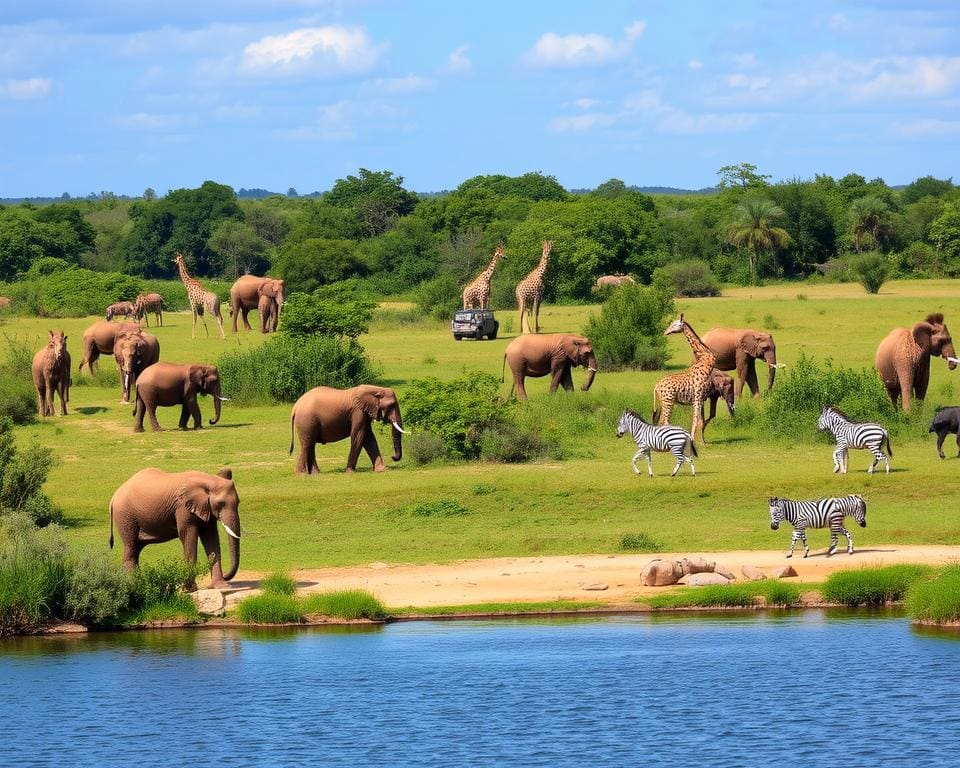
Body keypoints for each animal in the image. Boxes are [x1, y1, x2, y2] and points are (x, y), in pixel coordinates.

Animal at [109, 464, 242, 592]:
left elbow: (211, 536)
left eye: (238, 502)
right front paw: (189, 590)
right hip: (125, 517)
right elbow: (188, 536)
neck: (208, 479)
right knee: (131, 547)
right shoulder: (183, 507)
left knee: (136, 548)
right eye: (220, 503)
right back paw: (135, 587)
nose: (226, 575)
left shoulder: (205, 507)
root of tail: (113, 498)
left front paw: (221, 586)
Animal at [656, 314, 716, 444]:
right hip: (668, 401)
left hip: (664, 402)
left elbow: (700, 421)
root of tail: (656, 387)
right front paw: (693, 441)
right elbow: (696, 421)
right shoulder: (697, 397)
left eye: (676, 324)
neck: (706, 361)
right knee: (664, 421)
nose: (665, 332)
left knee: (660, 422)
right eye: (671, 323)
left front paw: (703, 442)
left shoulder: (701, 399)